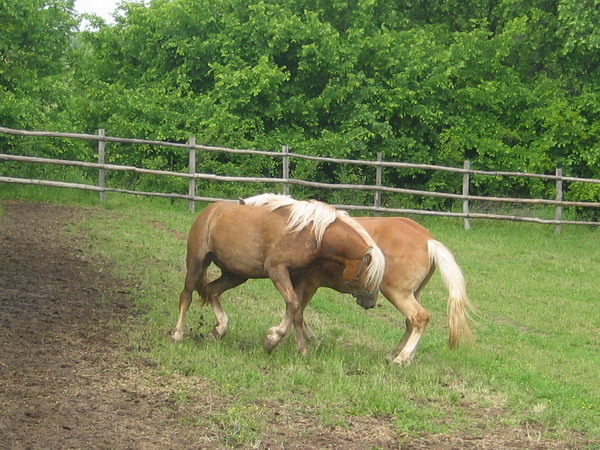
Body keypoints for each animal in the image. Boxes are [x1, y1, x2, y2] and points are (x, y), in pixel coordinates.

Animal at [169, 195, 386, 356]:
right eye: (369, 276)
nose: (371, 302)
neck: (309, 234)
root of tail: (209, 211)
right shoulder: (278, 271)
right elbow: (293, 304)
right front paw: (272, 340)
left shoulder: (300, 278)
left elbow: (297, 312)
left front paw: (301, 349)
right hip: (196, 263)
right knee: (186, 295)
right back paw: (178, 333)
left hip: (235, 275)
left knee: (212, 291)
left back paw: (220, 328)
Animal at [243, 193, 474, 366]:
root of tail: (428, 240)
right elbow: (297, 311)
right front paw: (310, 340)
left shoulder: (307, 284)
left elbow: (297, 311)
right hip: (412, 293)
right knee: (410, 322)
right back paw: (397, 355)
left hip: (397, 293)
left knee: (419, 317)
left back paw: (401, 358)